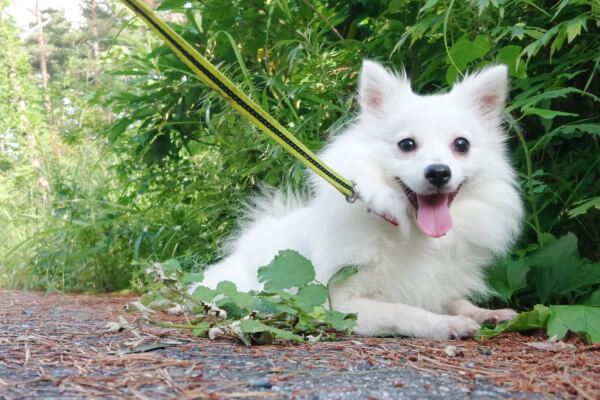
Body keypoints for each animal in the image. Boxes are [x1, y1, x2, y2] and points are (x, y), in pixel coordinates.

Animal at [196, 61, 520, 340]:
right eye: (407, 145)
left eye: (461, 145)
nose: (439, 172)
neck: (410, 232)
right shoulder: (337, 304)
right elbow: (403, 310)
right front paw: (446, 323)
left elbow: (456, 300)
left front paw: (484, 313)